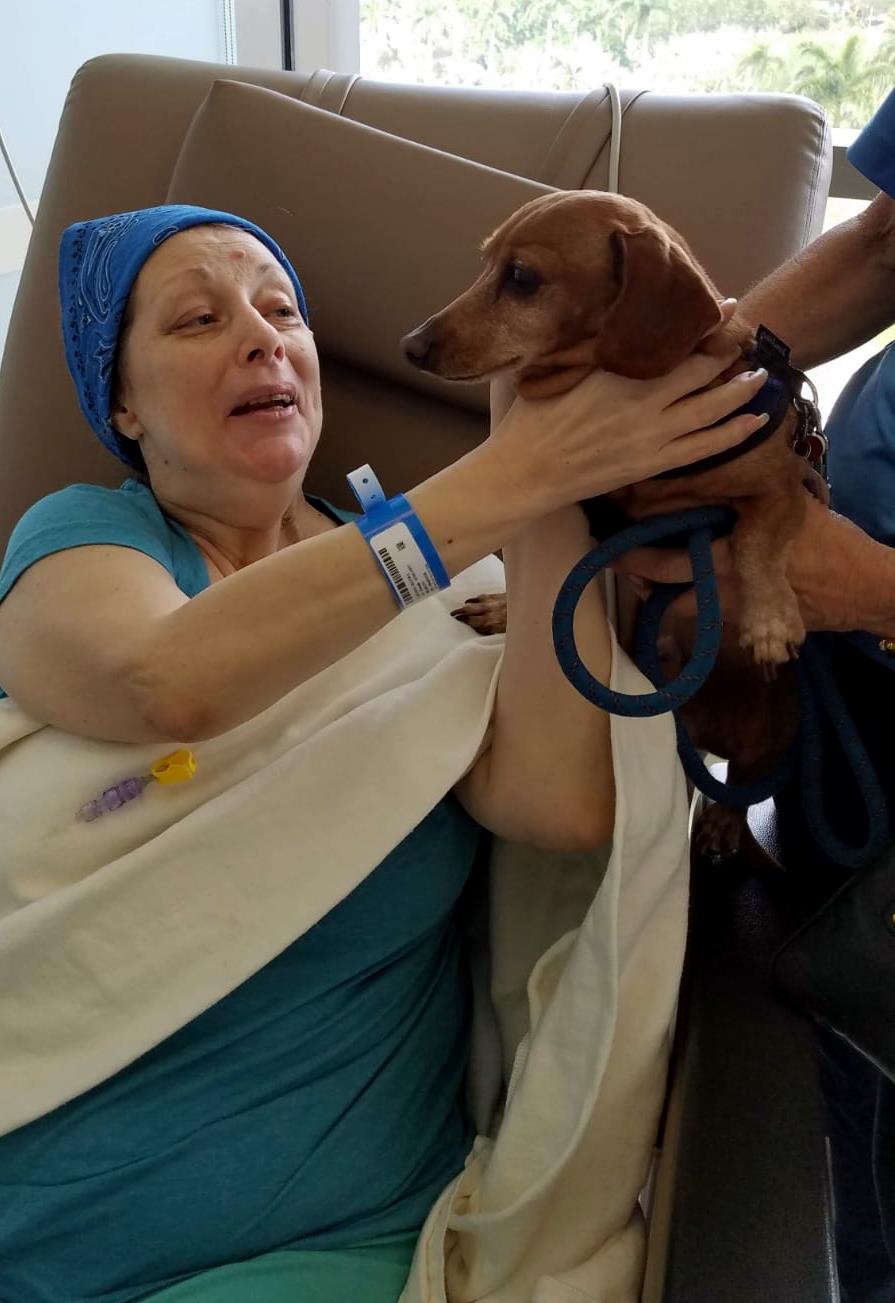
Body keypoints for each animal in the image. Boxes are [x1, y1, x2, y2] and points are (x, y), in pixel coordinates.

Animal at [401, 190, 827, 856]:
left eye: (522, 277)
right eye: (484, 263)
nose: (411, 346)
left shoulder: (783, 485)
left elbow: (756, 538)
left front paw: (769, 621)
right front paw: (503, 606)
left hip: (772, 735)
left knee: (743, 783)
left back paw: (724, 820)